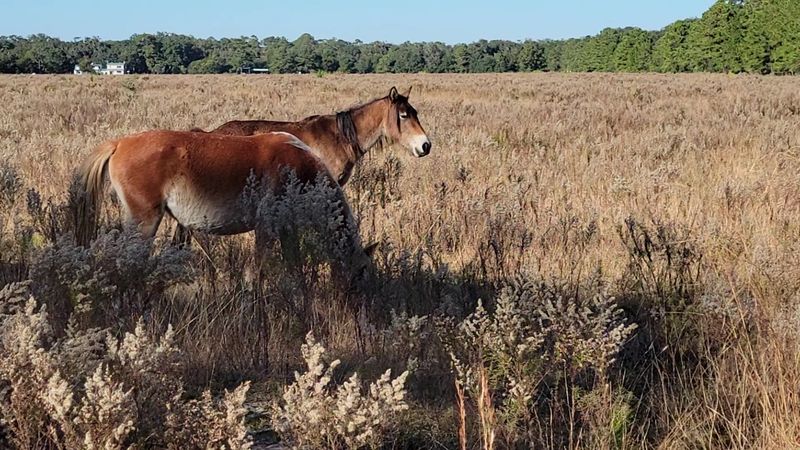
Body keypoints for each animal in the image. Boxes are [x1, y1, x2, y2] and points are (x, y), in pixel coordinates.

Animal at [74, 130, 374, 280]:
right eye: (361, 272)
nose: (358, 302)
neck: (301, 167)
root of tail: (120, 143)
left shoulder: (286, 227)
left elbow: (293, 264)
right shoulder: (266, 227)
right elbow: (260, 267)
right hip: (144, 221)